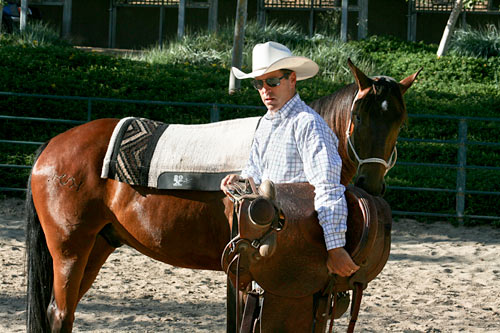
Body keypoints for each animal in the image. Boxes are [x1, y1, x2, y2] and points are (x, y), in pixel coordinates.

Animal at [25, 61, 420, 330]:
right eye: (359, 116)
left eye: (400, 120)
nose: (370, 183)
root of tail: (52, 146)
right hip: (70, 250)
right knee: (60, 313)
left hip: (97, 246)